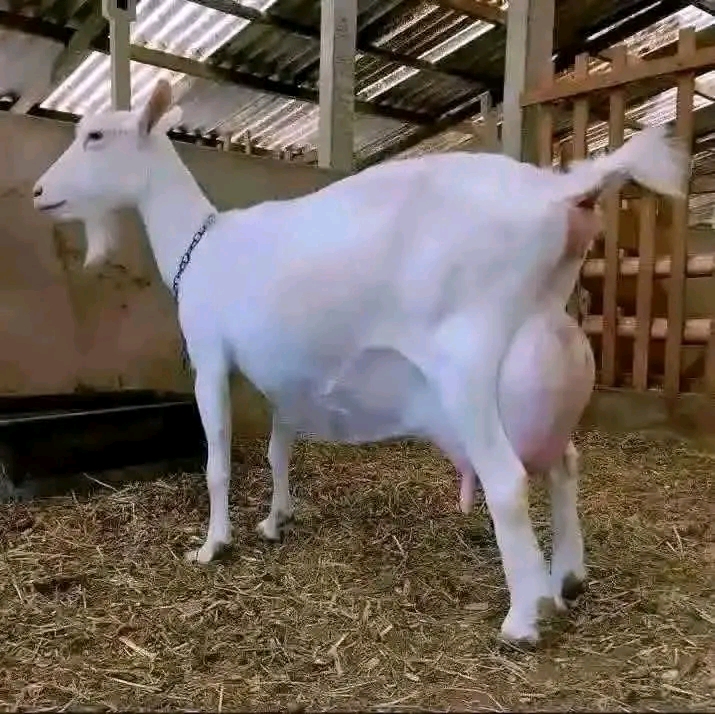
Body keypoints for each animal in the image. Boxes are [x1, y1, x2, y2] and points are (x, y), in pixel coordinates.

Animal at [33, 80, 688, 645]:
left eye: (95, 135)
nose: (39, 193)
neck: (201, 243)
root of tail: (555, 195)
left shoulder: (211, 354)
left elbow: (217, 460)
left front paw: (213, 546)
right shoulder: (286, 377)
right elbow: (278, 449)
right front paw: (276, 520)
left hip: (470, 367)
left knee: (507, 480)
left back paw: (523, 618)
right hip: (548, 366)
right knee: (566, 465)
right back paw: (568, 580)